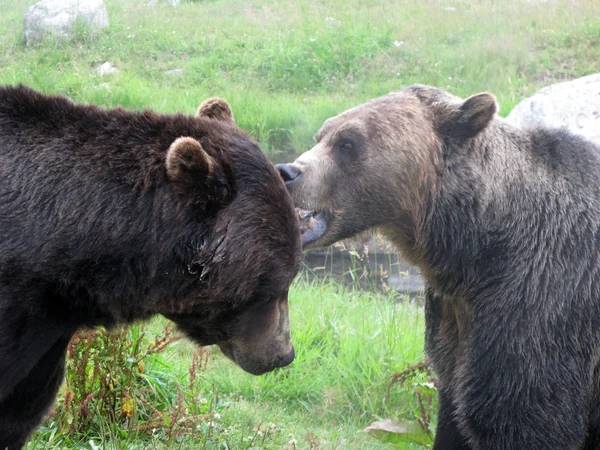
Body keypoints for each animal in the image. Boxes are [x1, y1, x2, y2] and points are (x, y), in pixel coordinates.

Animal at [278, 85, 600, 450]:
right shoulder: (450, 318)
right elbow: (453, 412)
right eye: (322, 134)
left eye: (347, 142)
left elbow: (523, 415)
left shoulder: (542, 306)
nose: (287, 172)